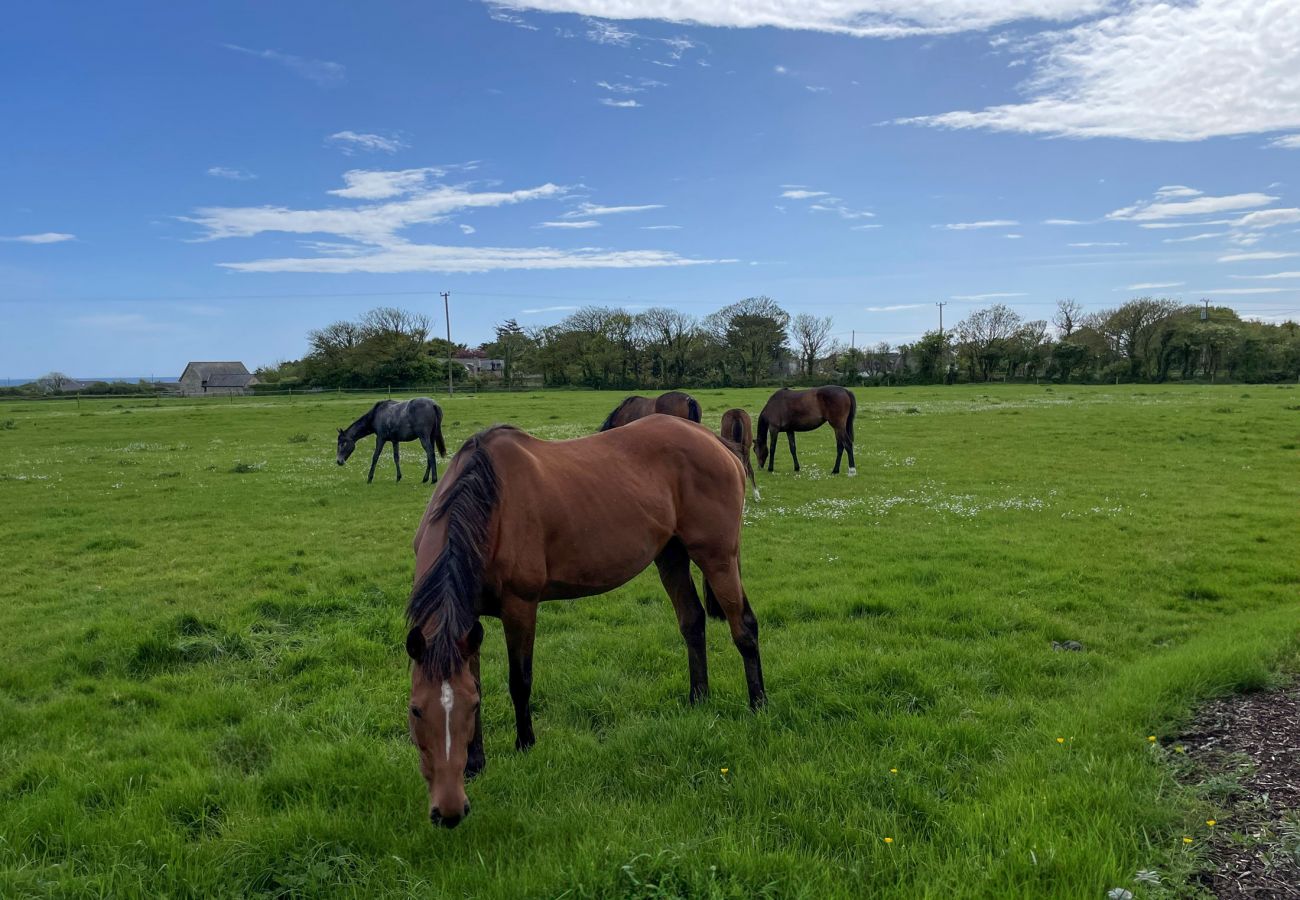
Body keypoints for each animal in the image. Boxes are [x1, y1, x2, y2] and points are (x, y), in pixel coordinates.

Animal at [400, 418, 759, 827]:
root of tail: (714, 441)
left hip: (718, 557)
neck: (490, 503)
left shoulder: (520, 606)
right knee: (693, 623)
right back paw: (698, 699)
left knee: (745, 627)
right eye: (415, 709)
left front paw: (525, 745)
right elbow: (476, 679)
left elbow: (519, 681)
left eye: (469, 709)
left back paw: (758, 705)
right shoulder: (469, 620)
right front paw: (477, 763)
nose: (449, 812)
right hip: (671, 556)